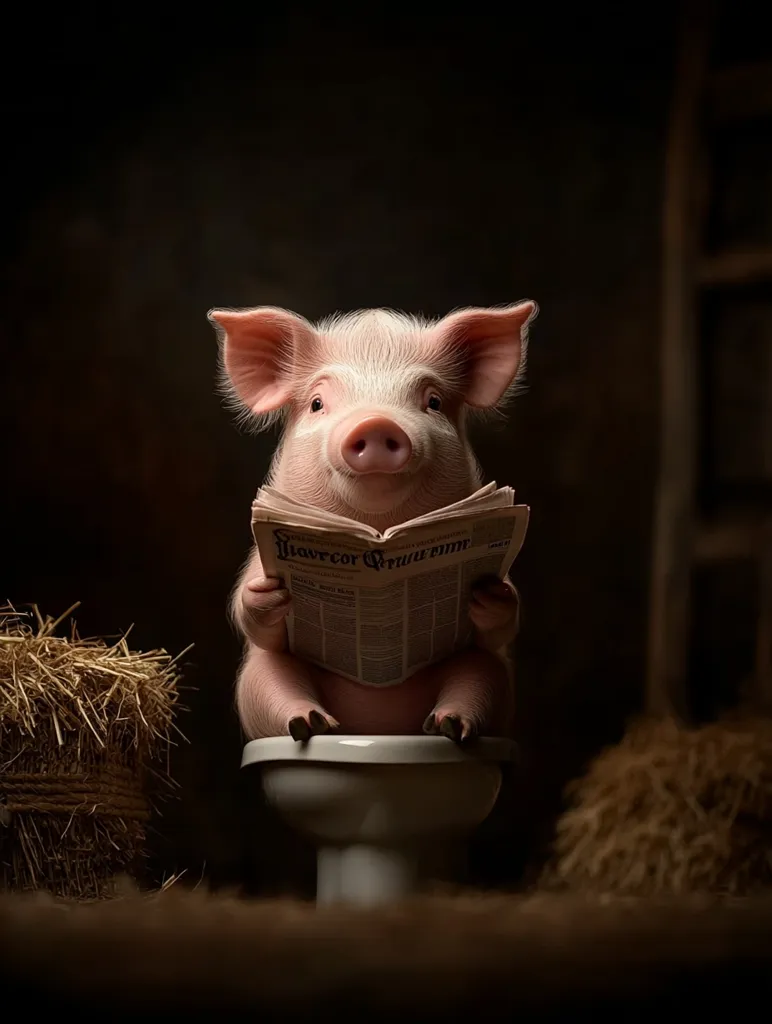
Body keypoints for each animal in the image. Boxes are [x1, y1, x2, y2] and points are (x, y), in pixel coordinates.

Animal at [208, 301, 537, 743]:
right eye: (317, 403)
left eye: (433, 401)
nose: (377, 423)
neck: (376, 530)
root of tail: (378, 729)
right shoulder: (259, 551)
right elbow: (253, 620)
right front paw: (267, 593)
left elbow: (503, 621)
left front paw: (488, 593)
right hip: (255, 683)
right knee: (273, 683)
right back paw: (311, 724)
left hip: (489, 678)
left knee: (478, 677)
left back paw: (446, 726)